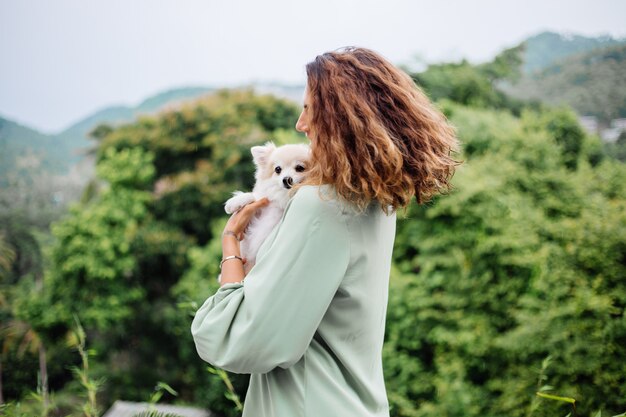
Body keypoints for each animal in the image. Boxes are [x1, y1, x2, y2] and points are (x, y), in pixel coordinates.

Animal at [227, 141, 310, 274]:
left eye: (300, 168)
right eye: (278, 169)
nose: (286, 179)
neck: (283, 197)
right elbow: (255, 197)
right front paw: (235, 201)